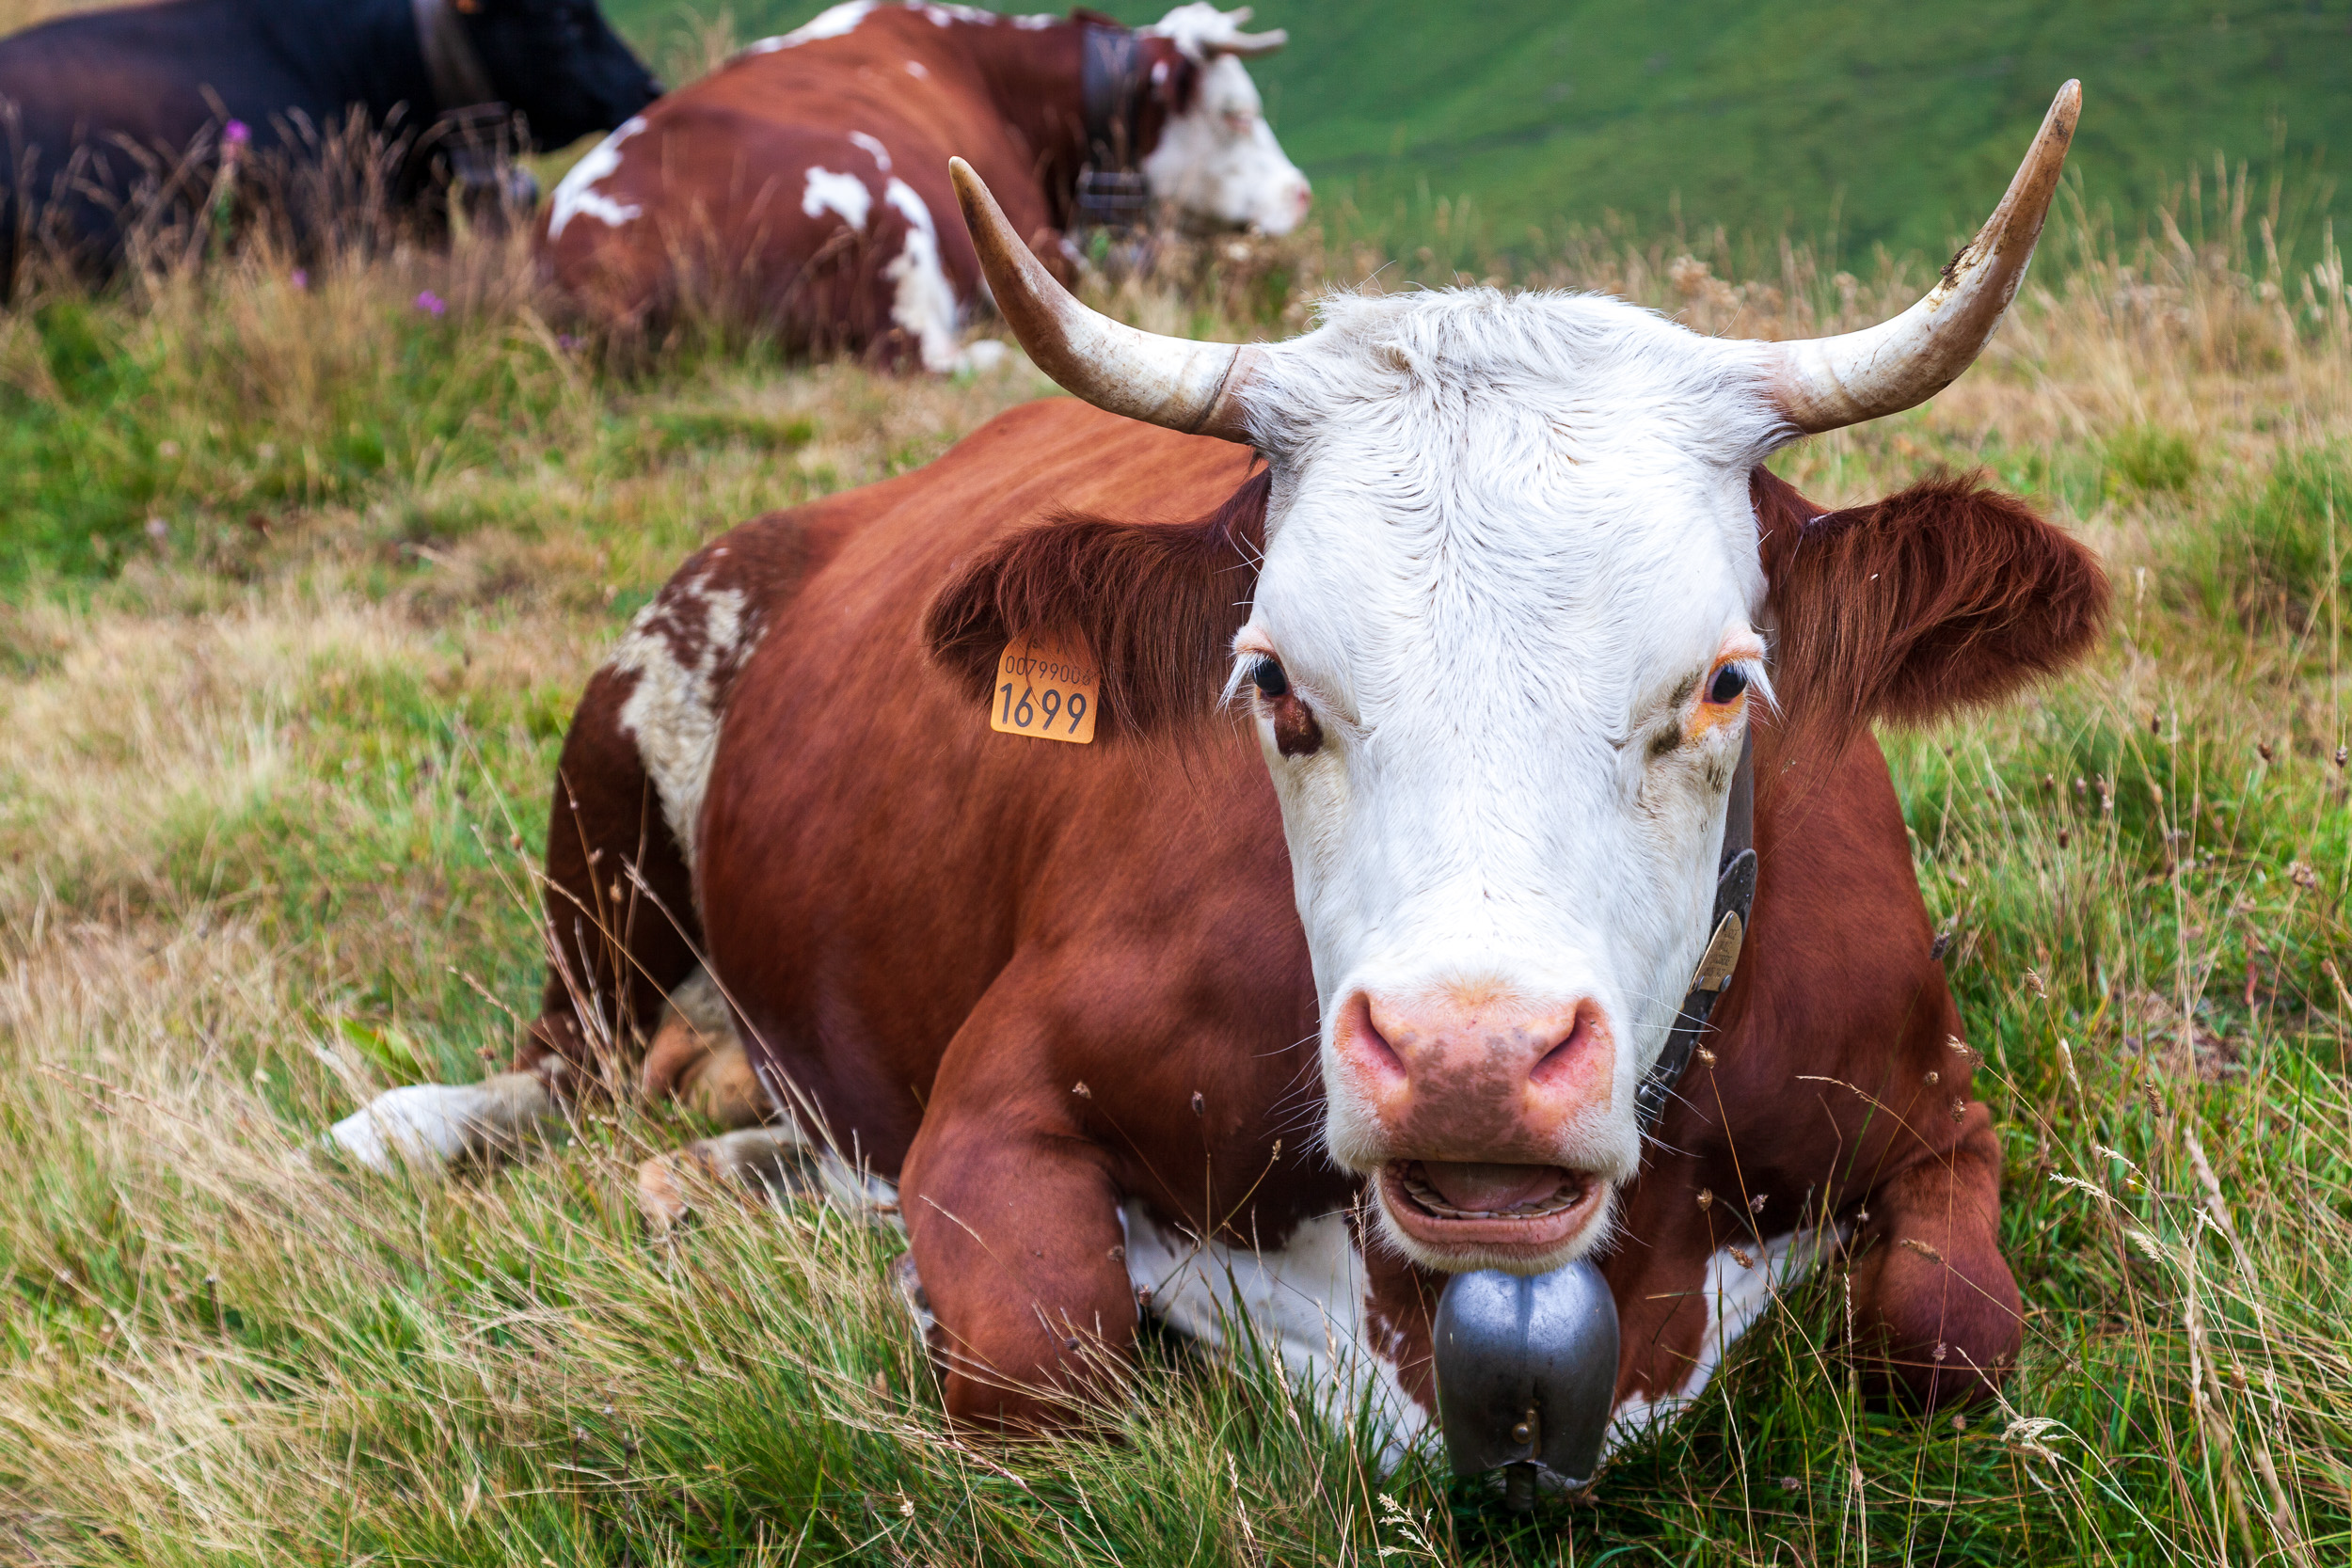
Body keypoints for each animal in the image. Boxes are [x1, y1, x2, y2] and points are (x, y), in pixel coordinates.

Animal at [334, 85, 2100, 1474]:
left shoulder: (1936, 1101)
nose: (1467, 1058)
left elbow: (1948, 1330)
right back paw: (422, 1126)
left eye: (1727, 679)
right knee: (565, 1053)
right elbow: (1042, 1354)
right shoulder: (999, 1093)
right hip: (621, 742)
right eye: (1273, 682)